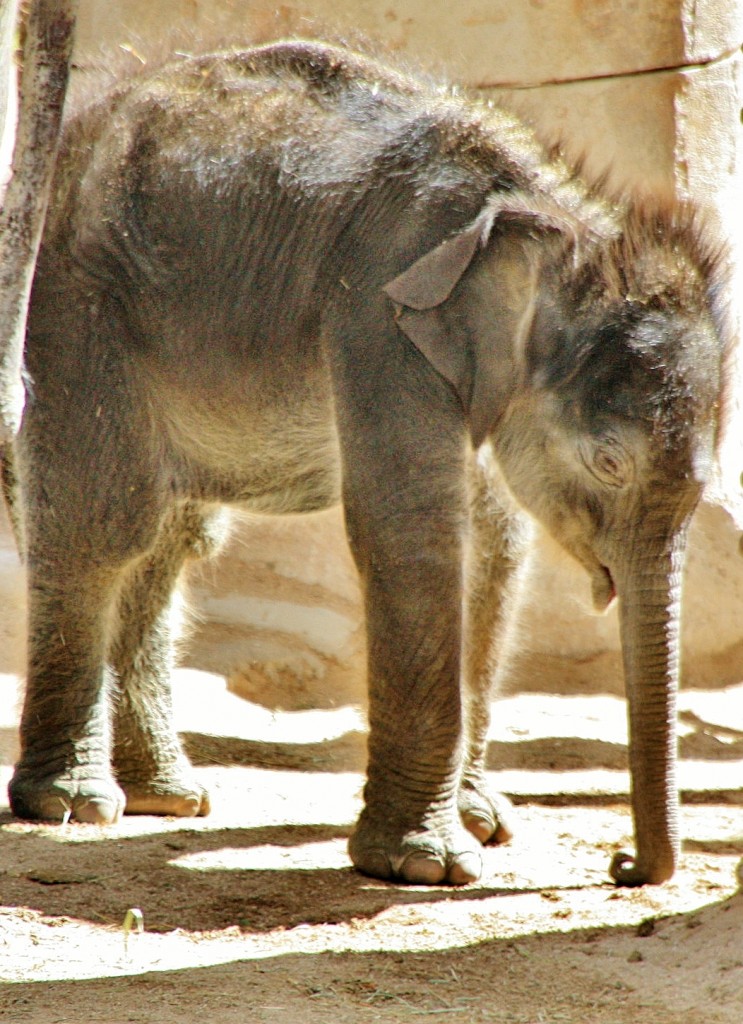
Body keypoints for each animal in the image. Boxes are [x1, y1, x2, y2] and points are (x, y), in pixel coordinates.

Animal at [2, 39, 728, 888]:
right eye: (608, 462)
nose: (619, 864)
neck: (555, 219)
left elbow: (492, 545)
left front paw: (481, 827)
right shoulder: (380, 318)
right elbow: (413, 533)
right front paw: (425, 867)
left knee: (169, 542)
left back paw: (167, 799)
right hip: (75, 306)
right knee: (105, 527)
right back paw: (73, 805)